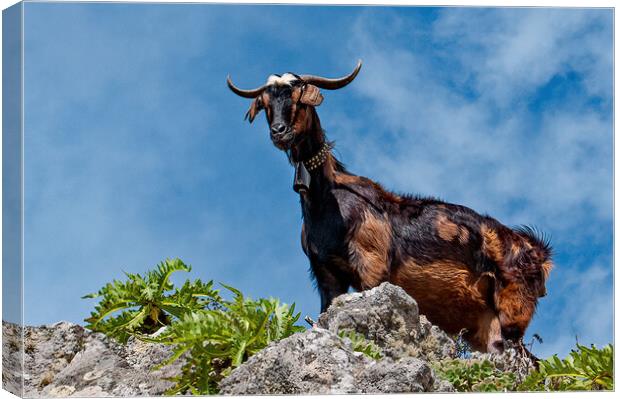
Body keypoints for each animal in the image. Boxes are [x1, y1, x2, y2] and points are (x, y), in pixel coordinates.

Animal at [226, 61, 552, 354]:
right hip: (485, 317)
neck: (328, 202)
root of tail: (537, 251)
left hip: (514, 304)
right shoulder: (325, 274)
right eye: (266, 103)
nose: (279, 132)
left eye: (298, 97)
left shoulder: (372, 265)